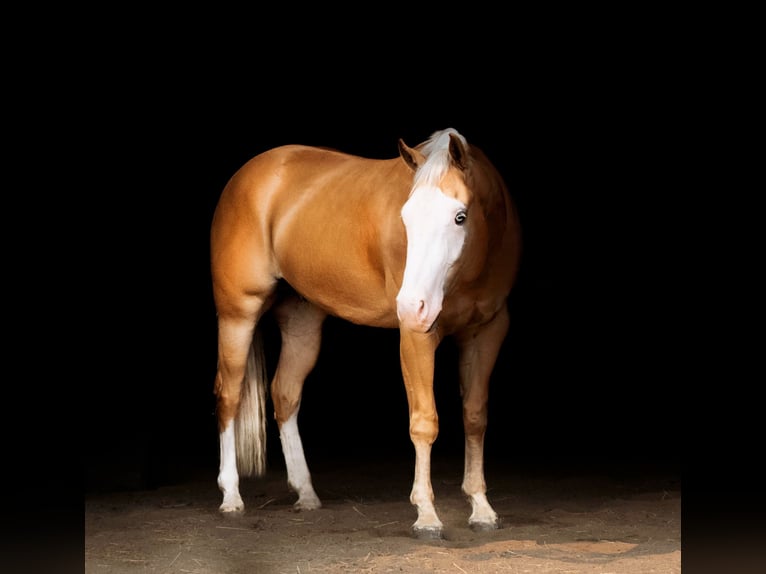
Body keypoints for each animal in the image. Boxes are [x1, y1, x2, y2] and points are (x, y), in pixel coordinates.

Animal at [210, 127, 520, 540]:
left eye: (460, 216)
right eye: (405, 217)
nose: (410, 305)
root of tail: (247, 175)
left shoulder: (487, 332)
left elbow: (474, 416)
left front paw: (482, 508)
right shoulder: (418, 335)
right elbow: (425, 421)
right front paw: (426, 515)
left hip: (302, 320)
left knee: (285, 394)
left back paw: (306, 493)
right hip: (237, 314)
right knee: (229, 395)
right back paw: (231, 496)